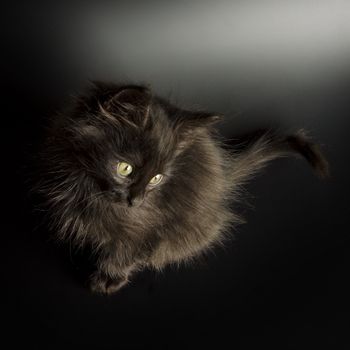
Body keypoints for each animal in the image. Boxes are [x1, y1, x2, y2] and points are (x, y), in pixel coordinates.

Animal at [37, 82, 330, 296]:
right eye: (125, 168)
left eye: (156, 178)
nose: (136, 201)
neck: (88, 186)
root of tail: (223, 175)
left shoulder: (152, 224)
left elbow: (130, 249)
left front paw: (108, 280)